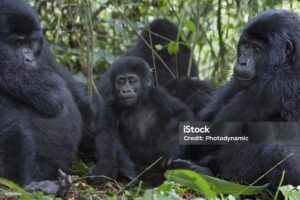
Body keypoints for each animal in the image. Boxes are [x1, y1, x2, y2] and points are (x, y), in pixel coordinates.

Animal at [0, 0, 86, 191]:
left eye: (30, 42)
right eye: (17, 43)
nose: (28, 59)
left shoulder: (43, 48)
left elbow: (72, 88)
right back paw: (23, 184)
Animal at [91, 55, 211, 184]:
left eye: (132, 81)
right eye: (120, 82)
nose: (125, 90)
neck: (137, 104)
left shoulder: (158, 95)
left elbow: (180, 112)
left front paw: (170, 148)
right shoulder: (109, 105)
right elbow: (108, 135)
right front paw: (105, 168)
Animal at [200, 9, 300, 191]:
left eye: (257, 49)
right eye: (246, 45)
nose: (242, 62)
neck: (290, 60)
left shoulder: (275, 84)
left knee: (278, 153)